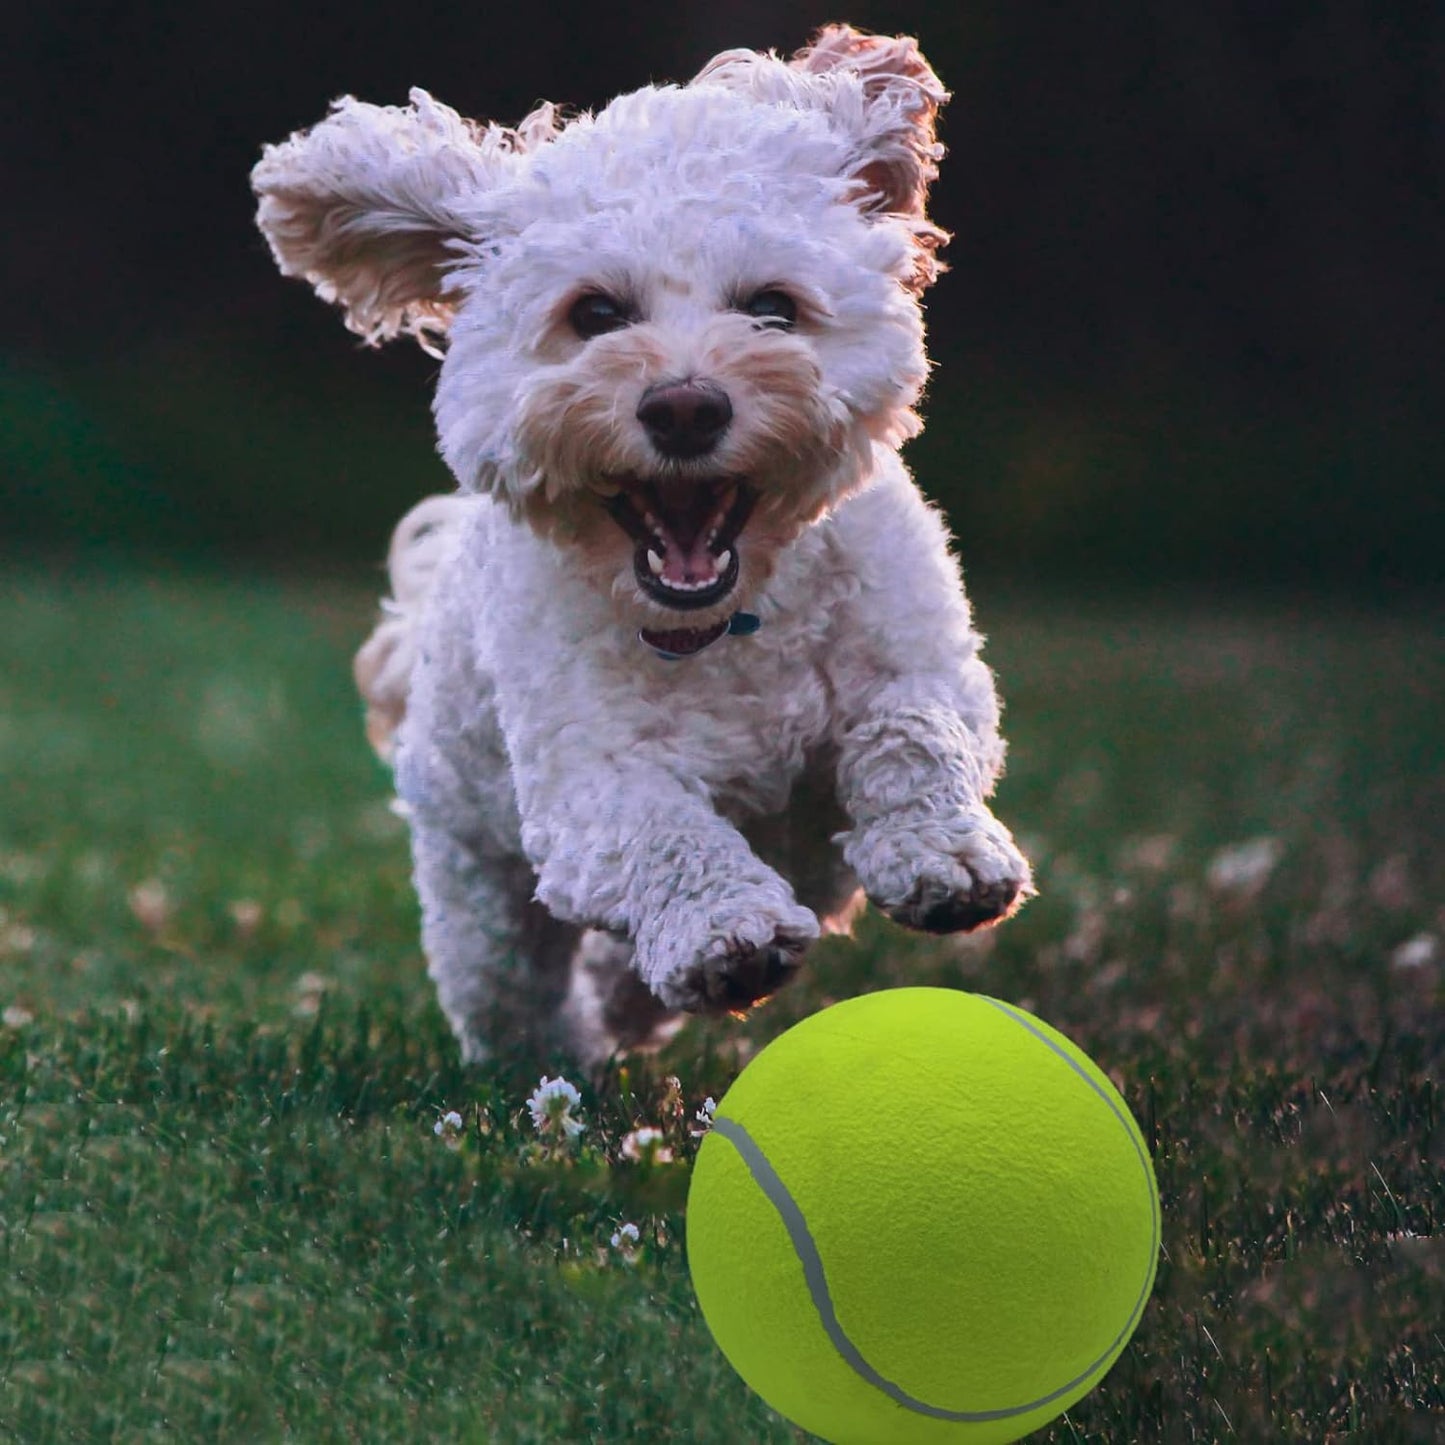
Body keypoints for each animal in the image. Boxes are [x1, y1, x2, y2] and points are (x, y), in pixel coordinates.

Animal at [254, 22, 1034, 1063]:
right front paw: (723, 931)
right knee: (510, 984)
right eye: (594, 314)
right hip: (476, 883)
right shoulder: (587, 779)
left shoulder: (921, 659)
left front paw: (945, 855)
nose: (685, 406)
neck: (731, 623)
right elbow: (663, 831)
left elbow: (913, 730)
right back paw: (562, 1052)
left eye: (773, 308)